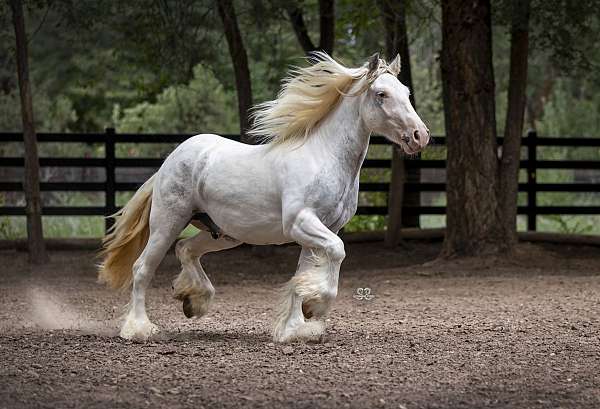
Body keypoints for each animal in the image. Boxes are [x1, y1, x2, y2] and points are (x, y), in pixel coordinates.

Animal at [98, 53, 428, 342]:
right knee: (142, 268)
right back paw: (139, 329)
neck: (323, 157)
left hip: (225, 233)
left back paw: (193, 301)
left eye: (406, 92)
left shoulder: (324, 229)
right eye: (382, 94)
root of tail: (172, 159)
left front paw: (296, 328)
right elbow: (337, 252)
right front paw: (313, 306)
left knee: (186, 249)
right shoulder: (302, 223)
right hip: (168, 222)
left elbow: (302, 275)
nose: (419, 136)